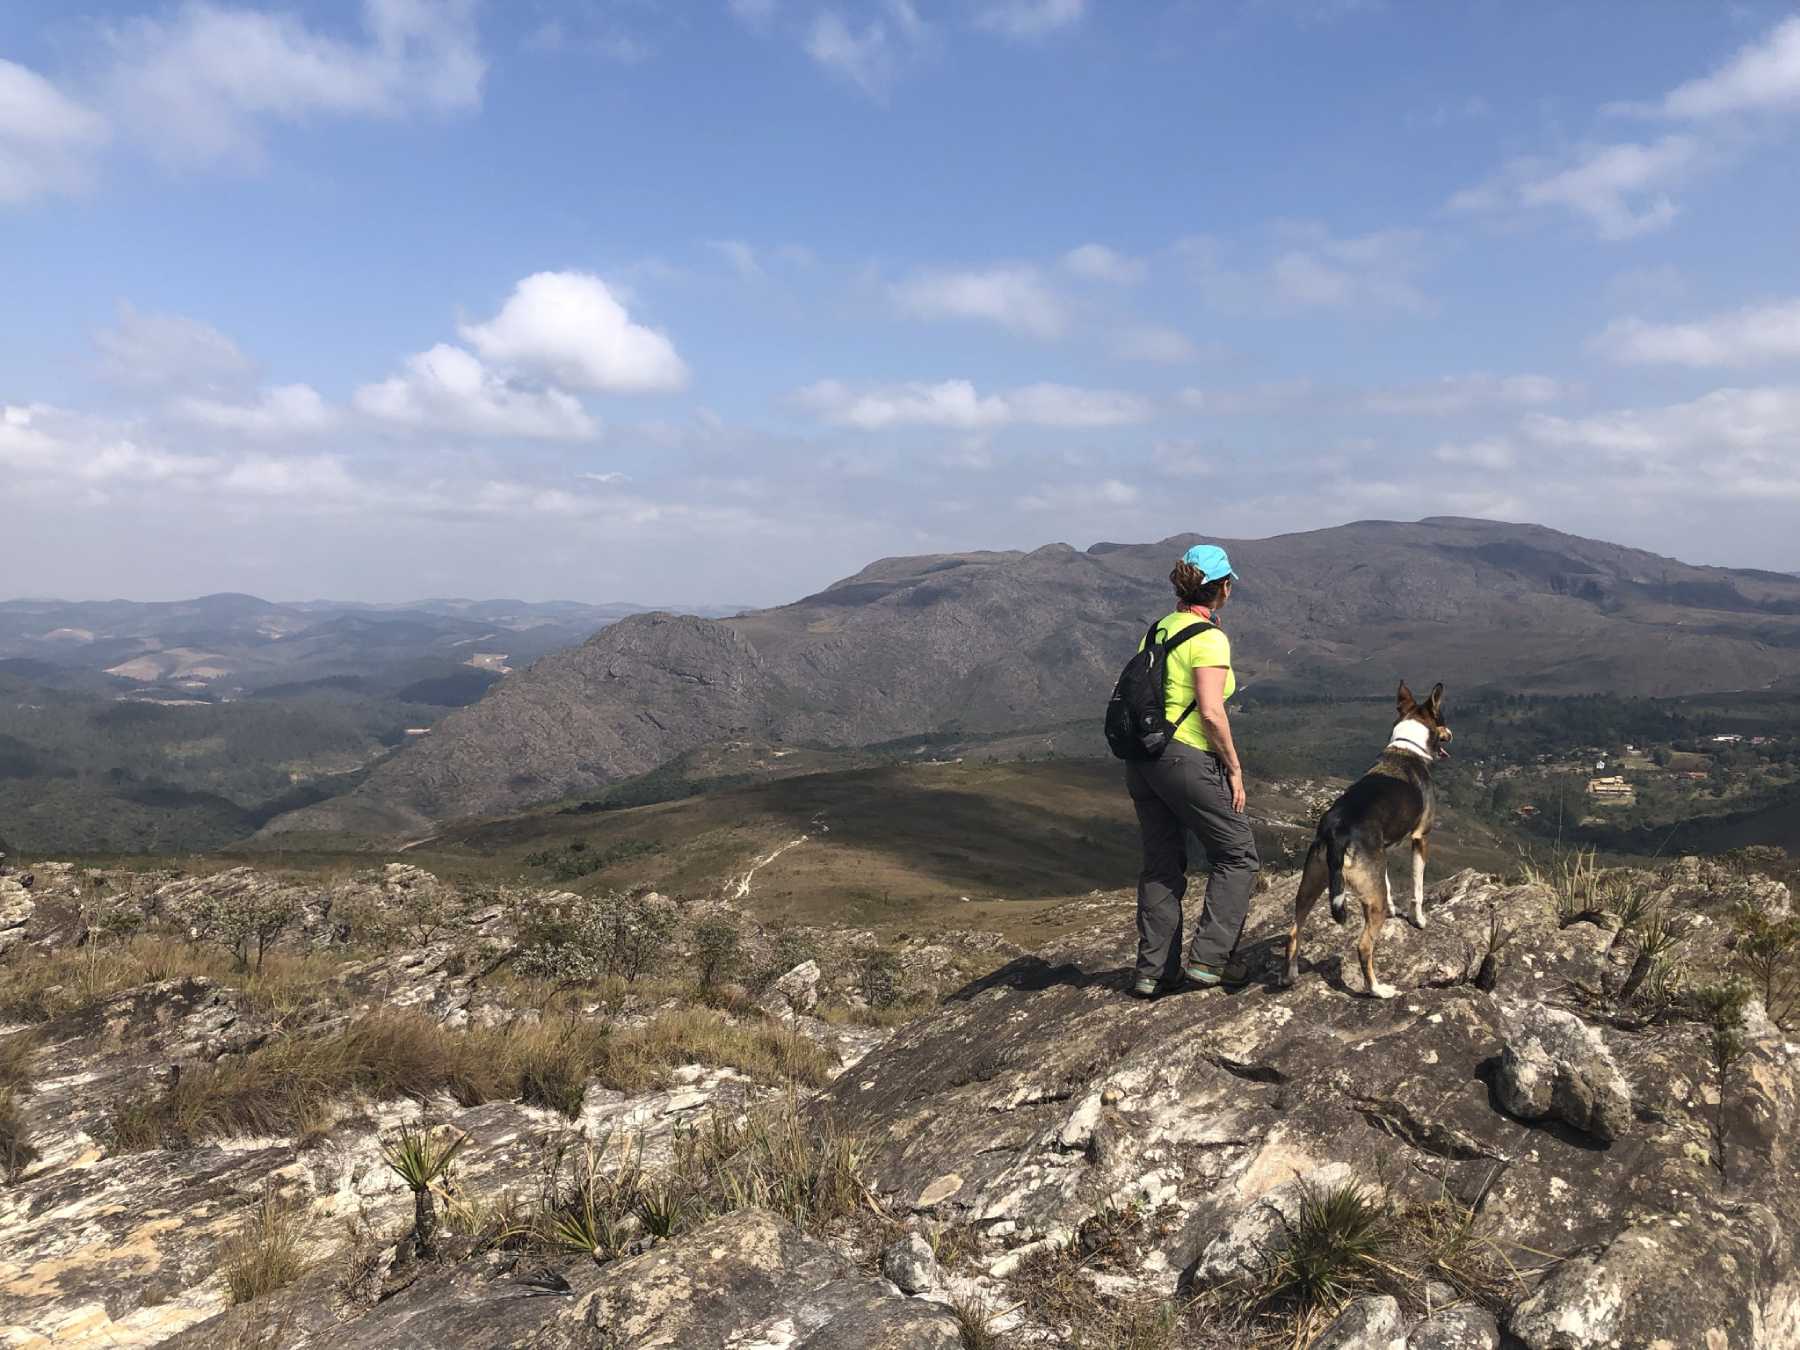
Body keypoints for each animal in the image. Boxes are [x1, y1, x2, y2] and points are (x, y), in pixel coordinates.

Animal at [1281, 680, 1447, 1000]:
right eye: (1443, 719)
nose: (1451, 734)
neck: (1407, 747)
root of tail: (1337, 832)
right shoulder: (1421, 837)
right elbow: (1417, 887)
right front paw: (1418, 919)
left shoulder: (1382, 852)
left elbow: (1389, 883)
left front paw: (1396, 908)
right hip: (1363, 904)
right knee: (1363, 945)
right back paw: (1378, 989)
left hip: (1312, 882)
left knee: (1294, 930)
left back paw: (1290, 975)